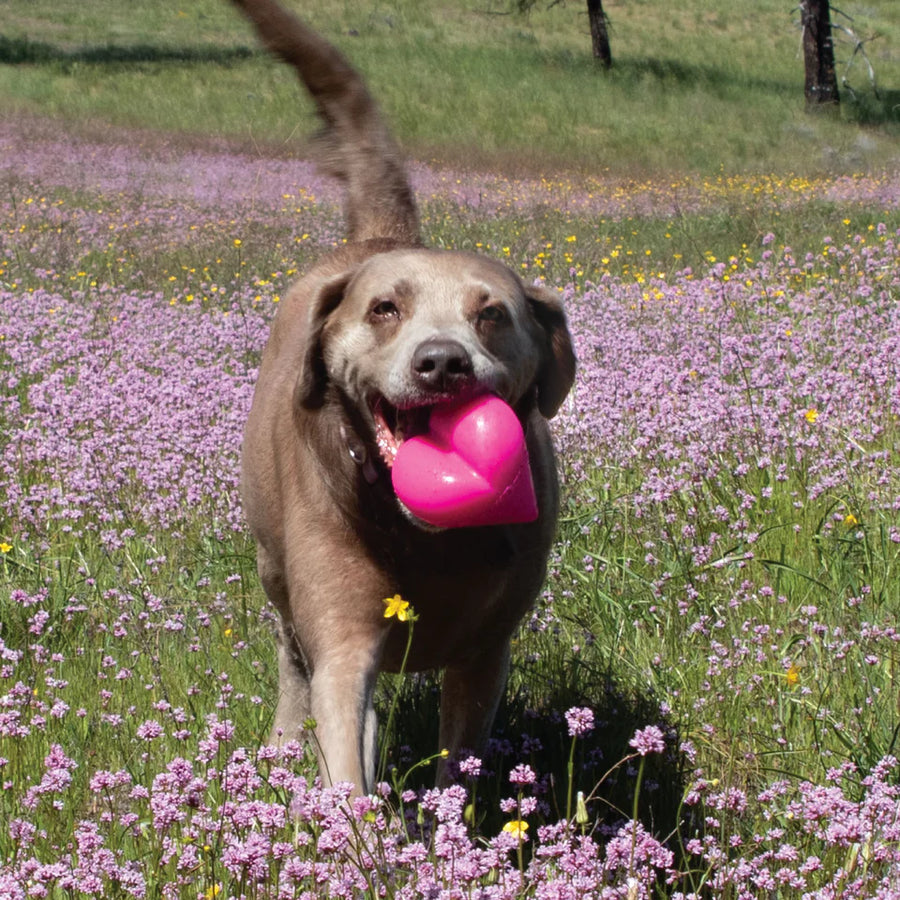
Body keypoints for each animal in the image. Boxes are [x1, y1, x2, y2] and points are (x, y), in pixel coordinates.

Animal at [229, 0, 572, 796]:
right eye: (386, 308)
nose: (442, 363)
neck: (426, 540)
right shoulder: (343, 635)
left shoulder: (485, 653)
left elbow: (460, 761)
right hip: (273, 564)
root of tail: (377, 236)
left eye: (491, 314)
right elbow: (342, 737)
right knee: (294, 661)